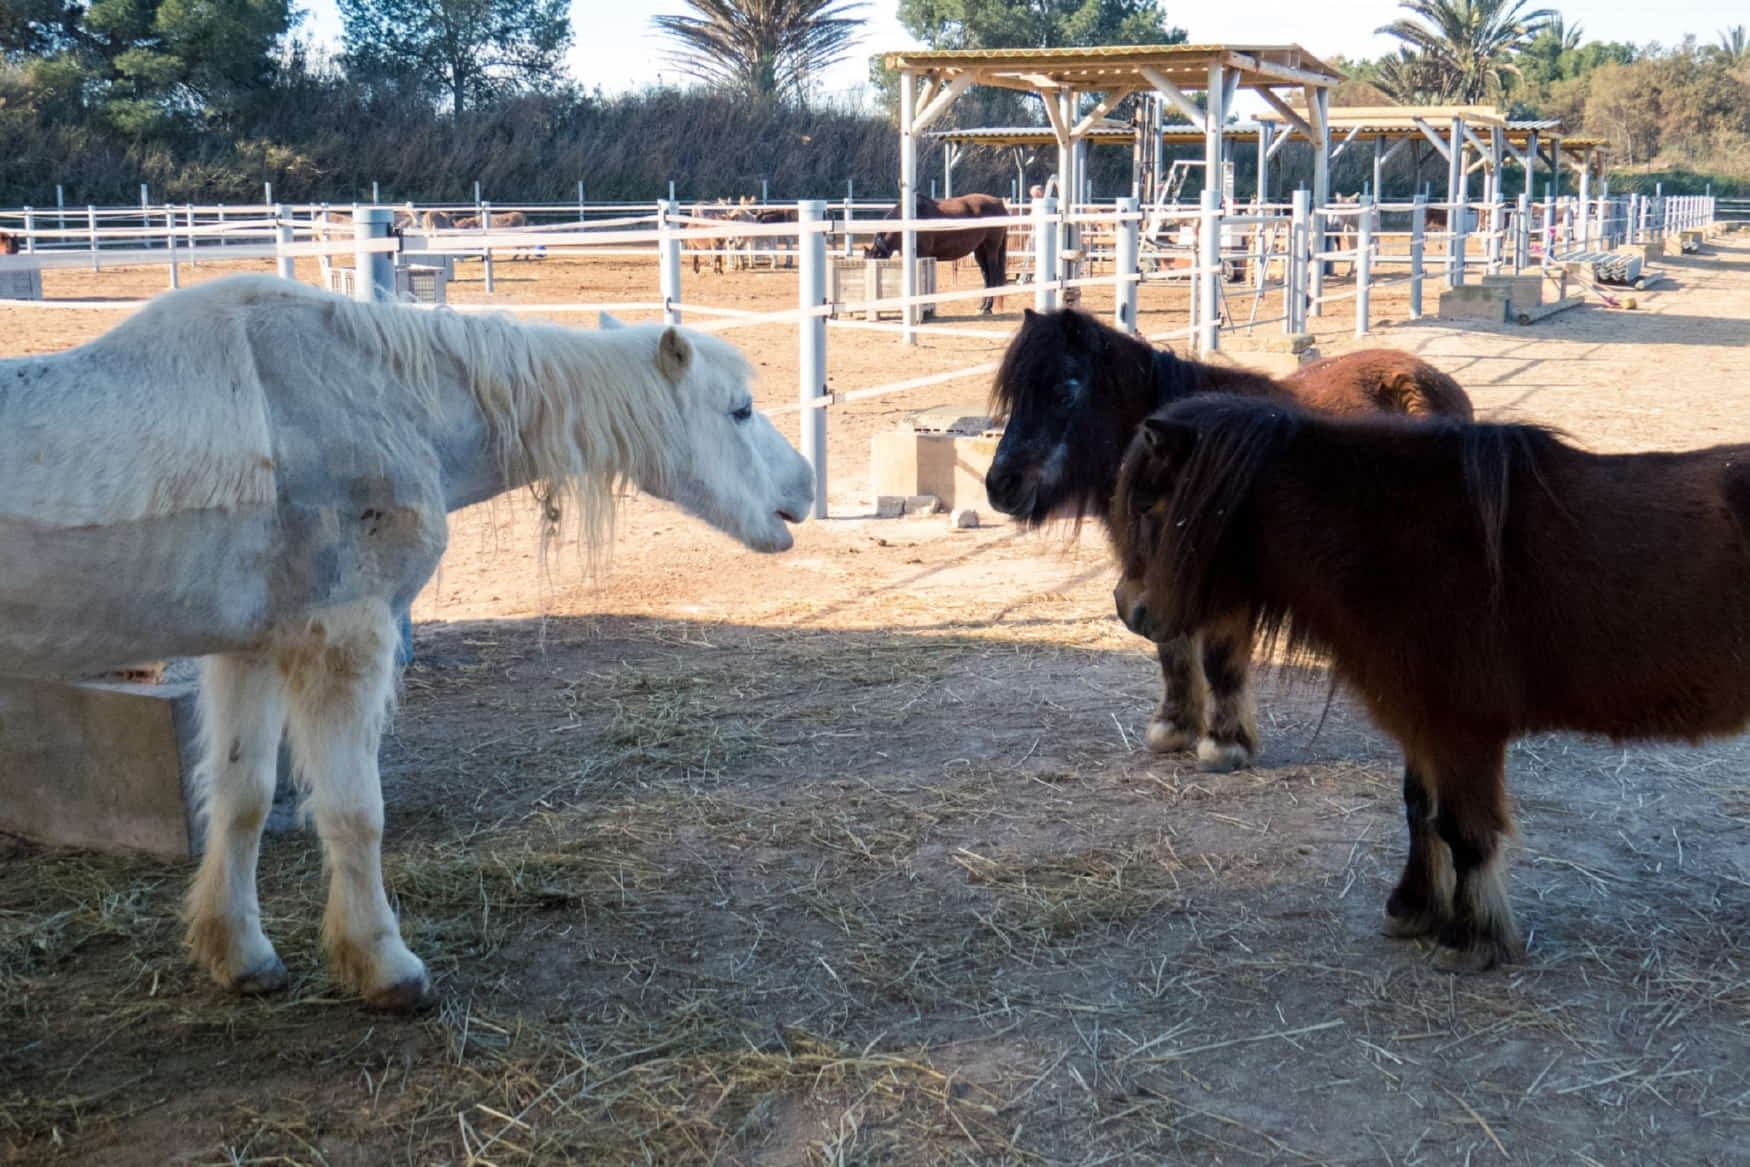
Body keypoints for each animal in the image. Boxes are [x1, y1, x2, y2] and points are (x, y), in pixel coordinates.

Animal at [0, 274, 815, 1010]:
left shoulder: (250, 649)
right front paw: (384, 966)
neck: (371, 396)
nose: (806, 486)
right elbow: (353, 811)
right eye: (740, 410)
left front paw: (241, 955)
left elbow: (241, 797)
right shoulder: (344, 639)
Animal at [865, 193, 1009, 314]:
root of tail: (999, 203)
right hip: (979, 250)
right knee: (986, 275)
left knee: (992, 274)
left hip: (991, 248)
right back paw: (982, 306)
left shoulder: (922, 256)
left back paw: (987, 307)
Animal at [983, 308, 1473, 771]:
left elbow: (1219, 658)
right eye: (1015, 397)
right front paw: (1174, 729)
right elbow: (1173, 651)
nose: (1000, 485)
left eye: (1064, 394)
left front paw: (1225, 745)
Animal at [1111, 395, 1750, 971]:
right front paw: (1416, 907)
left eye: (1149, 506)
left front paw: (1472, 940)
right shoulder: (1419, 720)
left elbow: (1466, 831)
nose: (1129, 607)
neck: (1400, 542)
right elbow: (1422, 812)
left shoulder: (1461, 729)